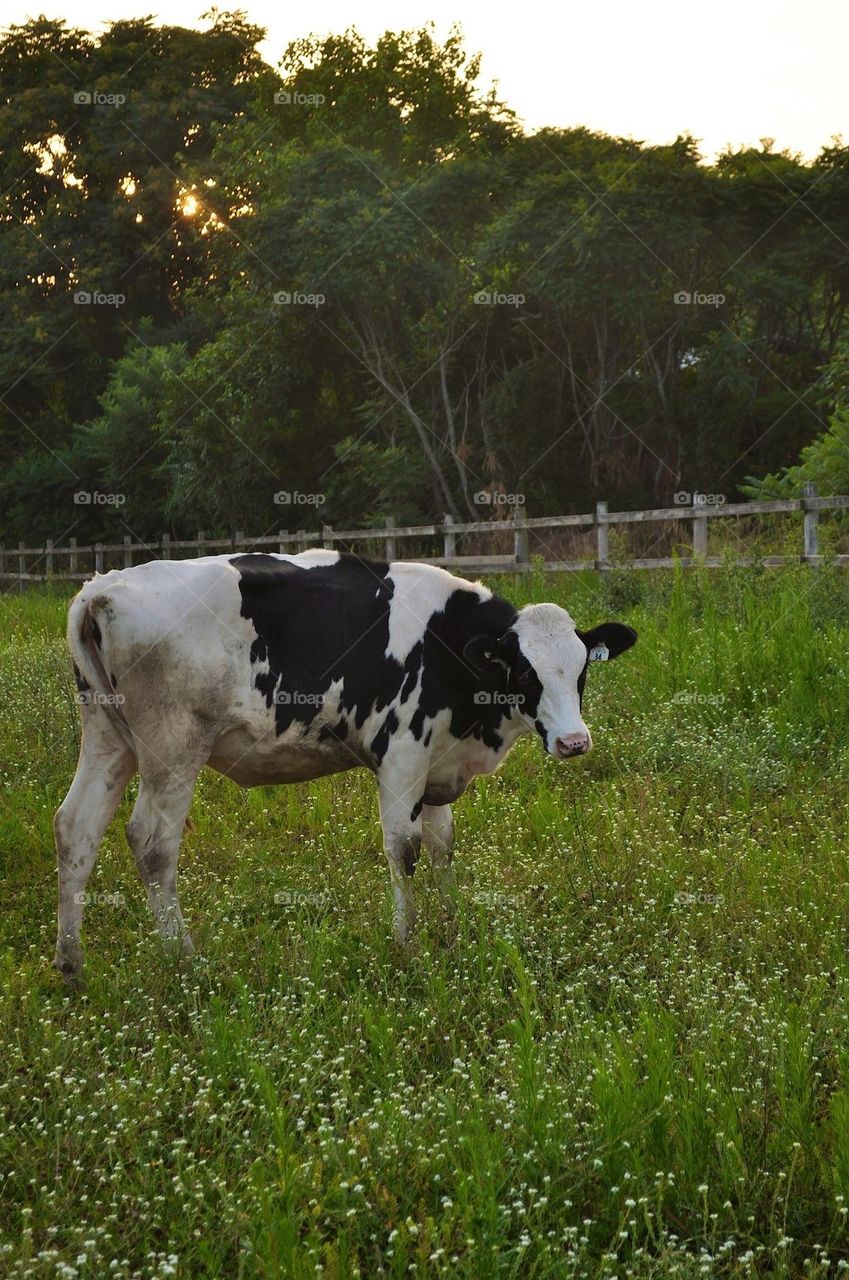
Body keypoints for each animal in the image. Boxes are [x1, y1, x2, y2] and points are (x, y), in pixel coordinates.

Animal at [53, 550, 636, 979]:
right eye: (524, 671)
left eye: (582, 670)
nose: (574, 741)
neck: (448, 646)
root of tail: (102, 589)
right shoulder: (403, 755)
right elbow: (405, 850)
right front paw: (407, 943)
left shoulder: (438, 762)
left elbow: (443, 845)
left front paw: (453, 925)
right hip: (173, 748)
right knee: (153, 841)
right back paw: (184, 959)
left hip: (108, 738)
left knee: (76, 826)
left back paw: (71, 962)